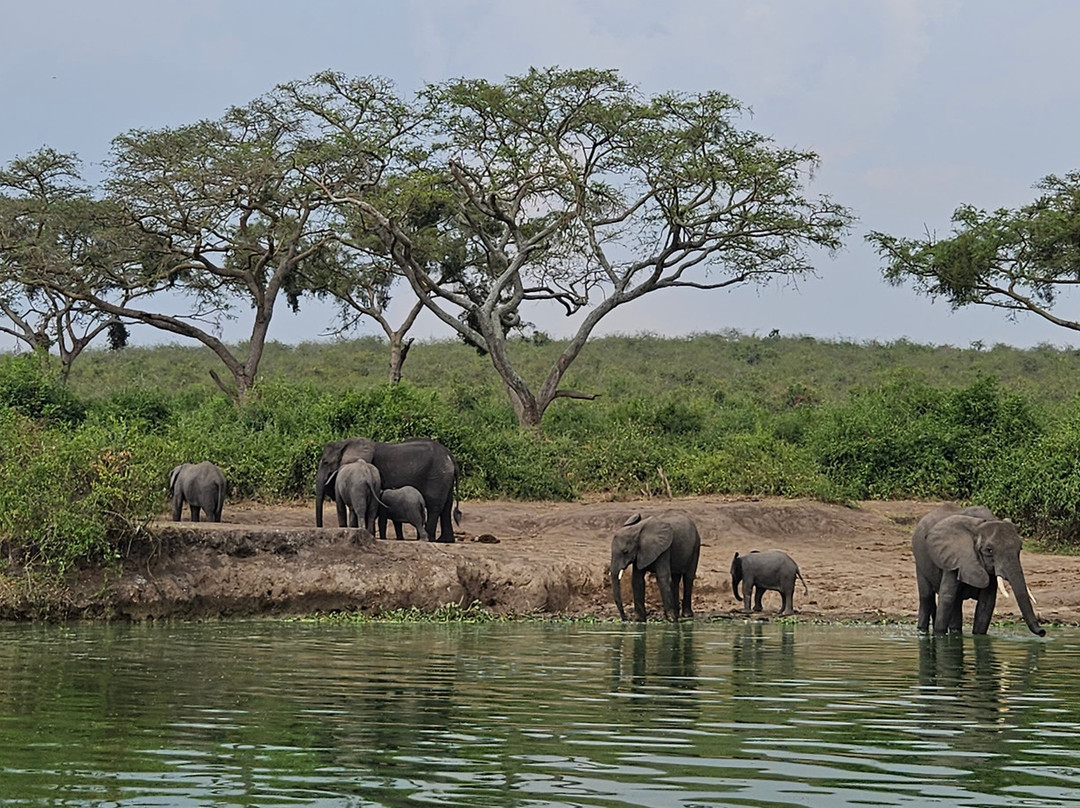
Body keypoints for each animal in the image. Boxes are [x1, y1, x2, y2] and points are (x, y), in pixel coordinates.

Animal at [315, 437, 460, 542]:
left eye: (325, 462)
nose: (320, 529)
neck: (345, 443)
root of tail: (450, 455)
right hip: (445, 478)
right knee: (446, 507)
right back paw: (444, 540)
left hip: (437, 477)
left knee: (434, 506)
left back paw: (429, 539)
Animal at [912, 502, 1045, 637]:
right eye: (989, 550)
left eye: (1020, 548)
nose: (1042, 631)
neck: (979, 526)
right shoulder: (954, 558)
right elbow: (947, 598)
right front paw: (939, 635)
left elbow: (986, 604)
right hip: (920, 560)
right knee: (926, 597)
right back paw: (922, 631)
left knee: (956, 603)